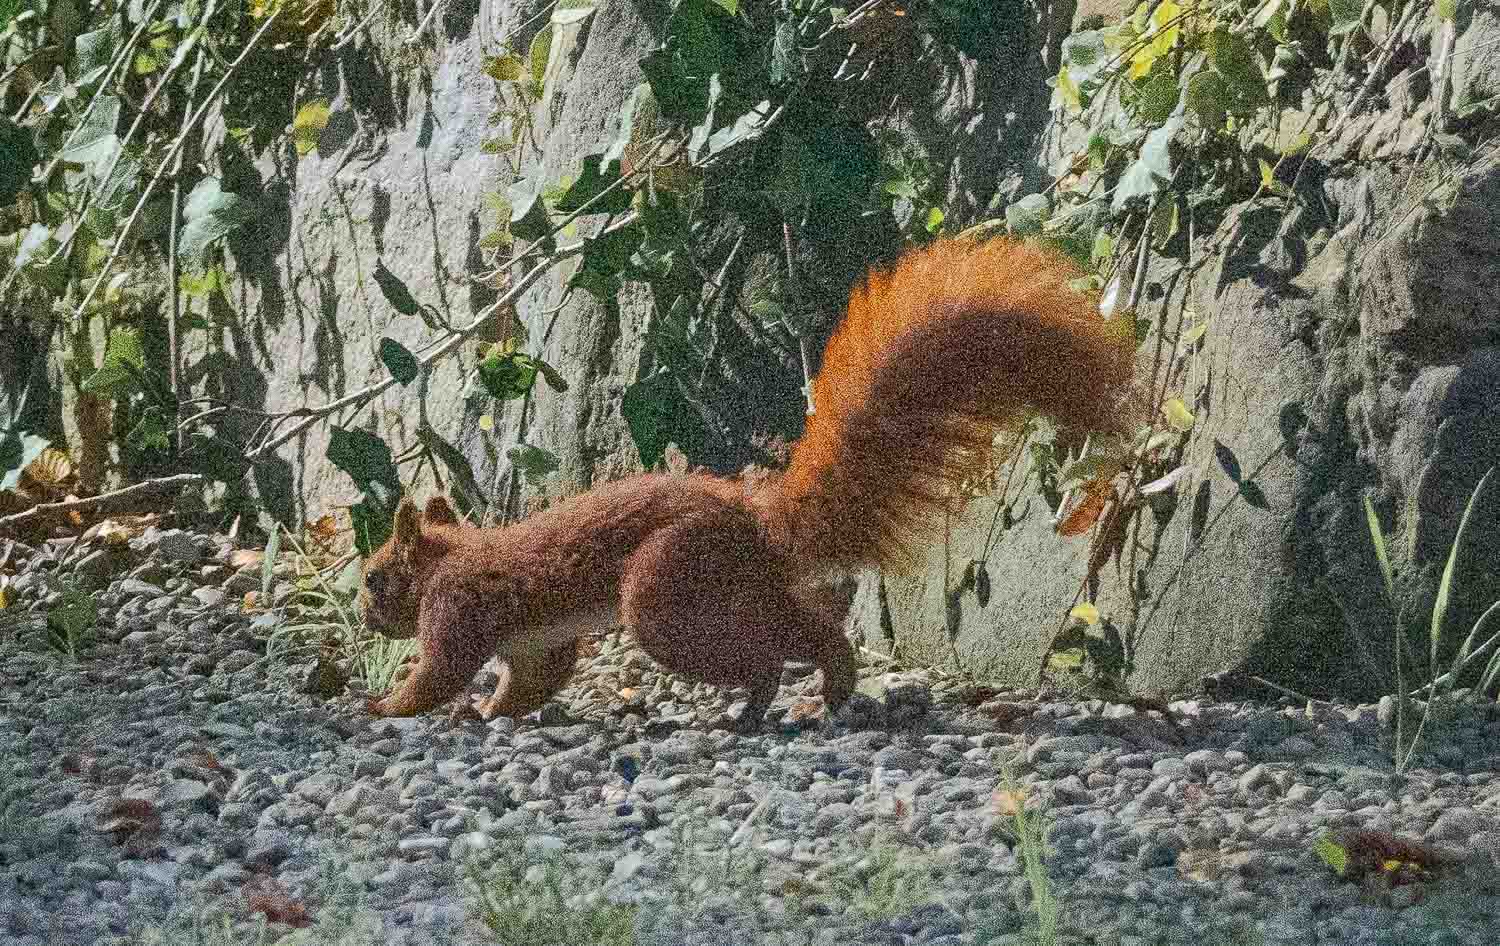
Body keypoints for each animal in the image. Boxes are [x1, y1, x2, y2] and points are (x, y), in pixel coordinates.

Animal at [357, 237, 1138, 730]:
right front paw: (490, 712)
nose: (366, 617)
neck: (453, 555)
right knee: (809, 631)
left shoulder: (456, 607)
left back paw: (765, 703)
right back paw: (823, 690)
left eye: (373, 577)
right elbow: (528, 681)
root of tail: (756, 518)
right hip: (732, 589)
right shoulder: (532, 646)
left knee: (764, 652)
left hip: (667, 590)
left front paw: (384, 707)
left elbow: (441, 671)